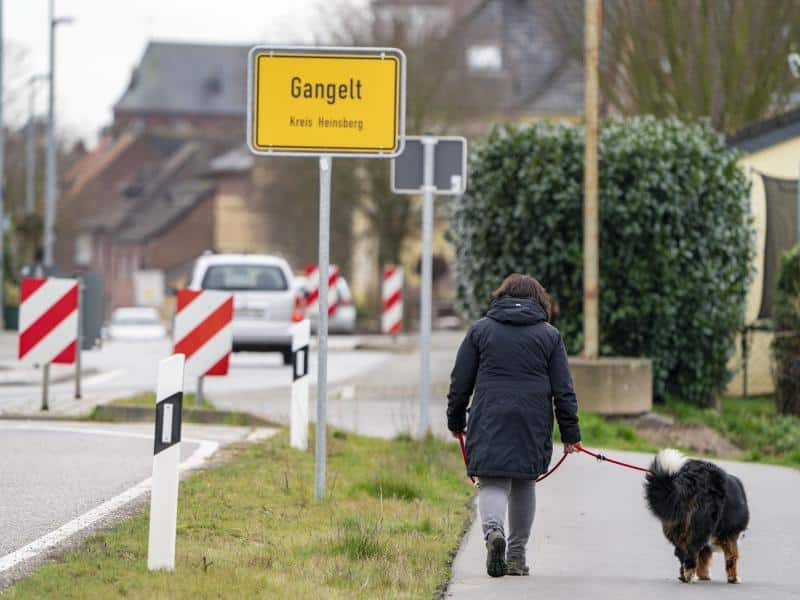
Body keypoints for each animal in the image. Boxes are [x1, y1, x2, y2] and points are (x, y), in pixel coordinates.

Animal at [644, 448, 752, 584]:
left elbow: (703, 559)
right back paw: (690, 576)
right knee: (691, 552)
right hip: (701, 526)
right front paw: (733, 578)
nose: (744, 536)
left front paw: (704, 575)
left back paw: (684, 576)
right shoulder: (730, 535)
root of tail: (690, 479)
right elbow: (732, 558)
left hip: (677, 524)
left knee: (681, 552)